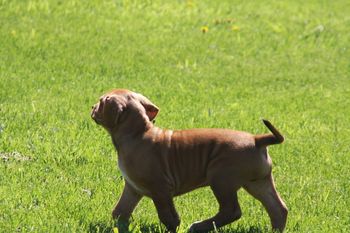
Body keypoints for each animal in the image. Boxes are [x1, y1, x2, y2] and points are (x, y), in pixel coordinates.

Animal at [91, 88, 288, 231]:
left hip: (221, 179)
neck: (138, 132)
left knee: (231, 211)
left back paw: (198, 226)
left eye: (100, 102)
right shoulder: (133, 188)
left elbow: (168, 216)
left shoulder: (160, 189)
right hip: (258, 183)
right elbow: (120, 211)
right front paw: (120, 227)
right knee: (278, 209)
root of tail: (256, 139)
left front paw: (173, 228)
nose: (92, 107)